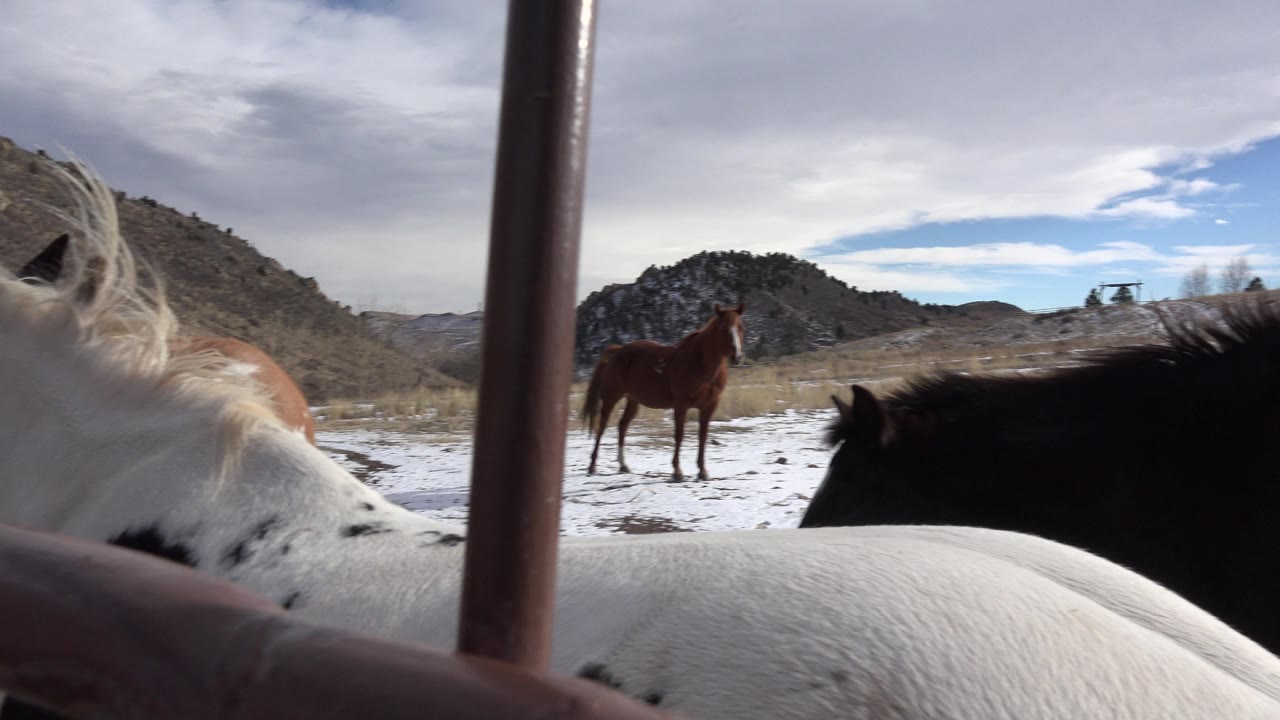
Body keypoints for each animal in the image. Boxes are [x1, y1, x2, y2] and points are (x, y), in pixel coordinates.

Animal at [581, 305, 745, 480]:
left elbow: (703, 436)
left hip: (633, 401)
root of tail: (616, 353)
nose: (737, 357)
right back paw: (592, 466)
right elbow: (679, 435)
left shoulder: (709, 406)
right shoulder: (681, 405)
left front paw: (702, 471)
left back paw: (623, 465)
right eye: (724, 328)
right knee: (601, 427)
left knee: (622, 426)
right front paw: (677, 471)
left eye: (741, 327)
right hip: (611, 399)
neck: (700, 364)